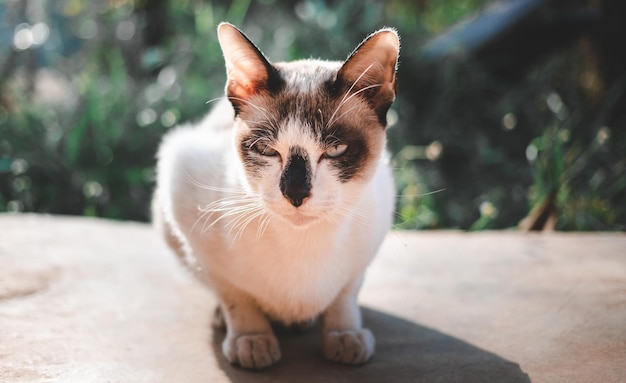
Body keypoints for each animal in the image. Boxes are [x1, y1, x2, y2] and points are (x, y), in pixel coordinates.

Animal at [151, 22, 398, 370]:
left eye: (336, 149)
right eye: (266, 150)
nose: (295, 193)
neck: (303, 245)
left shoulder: (365, 252)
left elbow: (345, 295)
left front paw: (344, 335)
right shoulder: (185, 198)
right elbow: (235, 295)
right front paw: (251, 340)